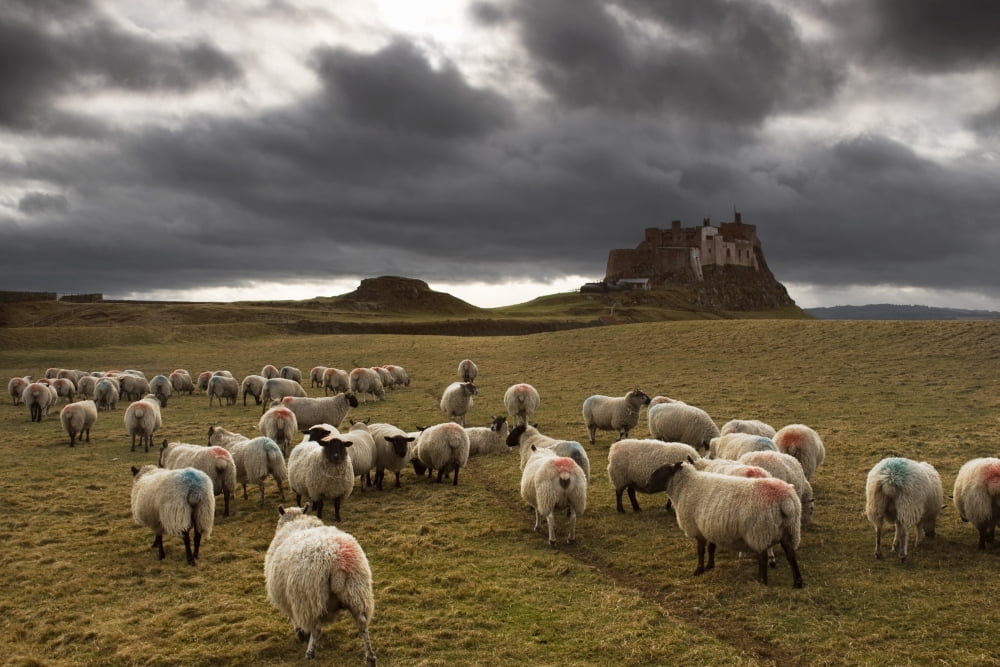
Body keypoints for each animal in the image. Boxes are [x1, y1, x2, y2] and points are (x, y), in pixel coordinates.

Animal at [264, 505, 376, 664]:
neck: (296, 522)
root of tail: (338, 560)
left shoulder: (287, 599)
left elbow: (294, 619)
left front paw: (301, 634)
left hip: (312, 598)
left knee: (316, 628)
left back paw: (310, 653)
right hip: (357, 591)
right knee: (362, 623)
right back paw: (370, 657)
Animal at [647, 459, 804, 587]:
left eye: (661, 472)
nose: (646, 485)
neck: (686, 487)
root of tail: (786, 502)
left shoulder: (697, 528)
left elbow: (700, 550)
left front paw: (699, 570)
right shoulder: (709, 526)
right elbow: (711, 548)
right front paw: (710, 565)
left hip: (760, 531)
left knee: (763, 557)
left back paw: (762, 581)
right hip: (790, 529)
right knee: (791, 555)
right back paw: (797, 583)